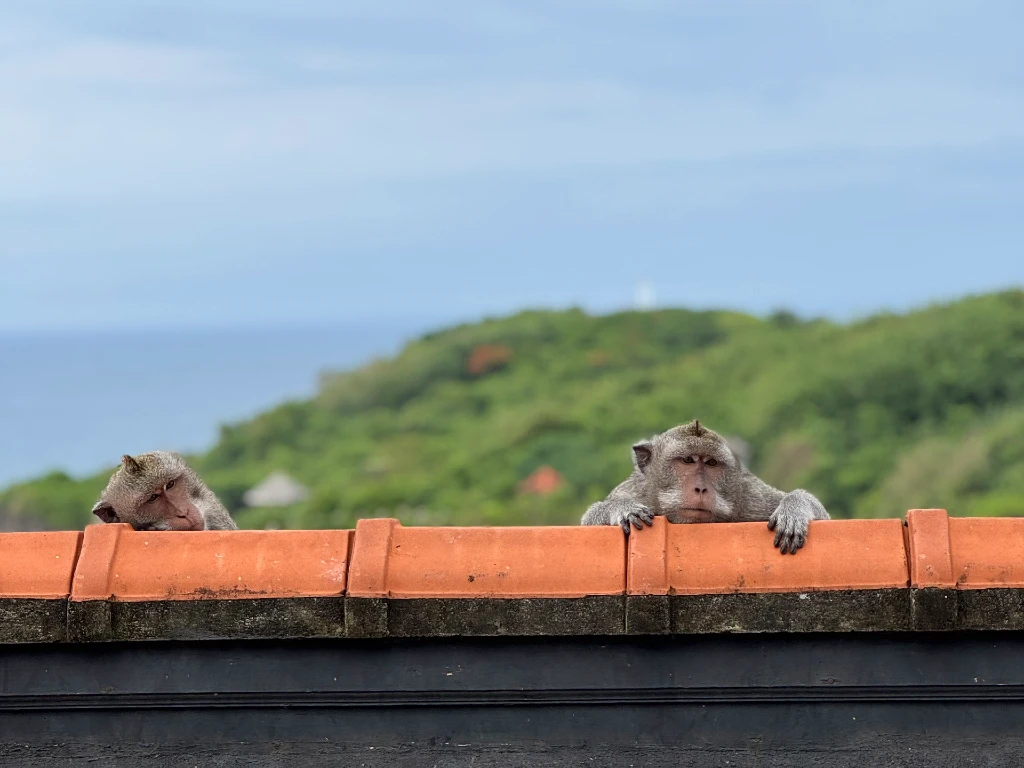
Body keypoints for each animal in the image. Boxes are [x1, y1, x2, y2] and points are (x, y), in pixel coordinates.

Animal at [581, 420, 829, 554]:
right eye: (687, 460)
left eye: (711, 463)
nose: (700, 488)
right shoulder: (634, 491)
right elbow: (589, 520)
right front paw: (622, 509)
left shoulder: (750, 498)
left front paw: (793, 509)